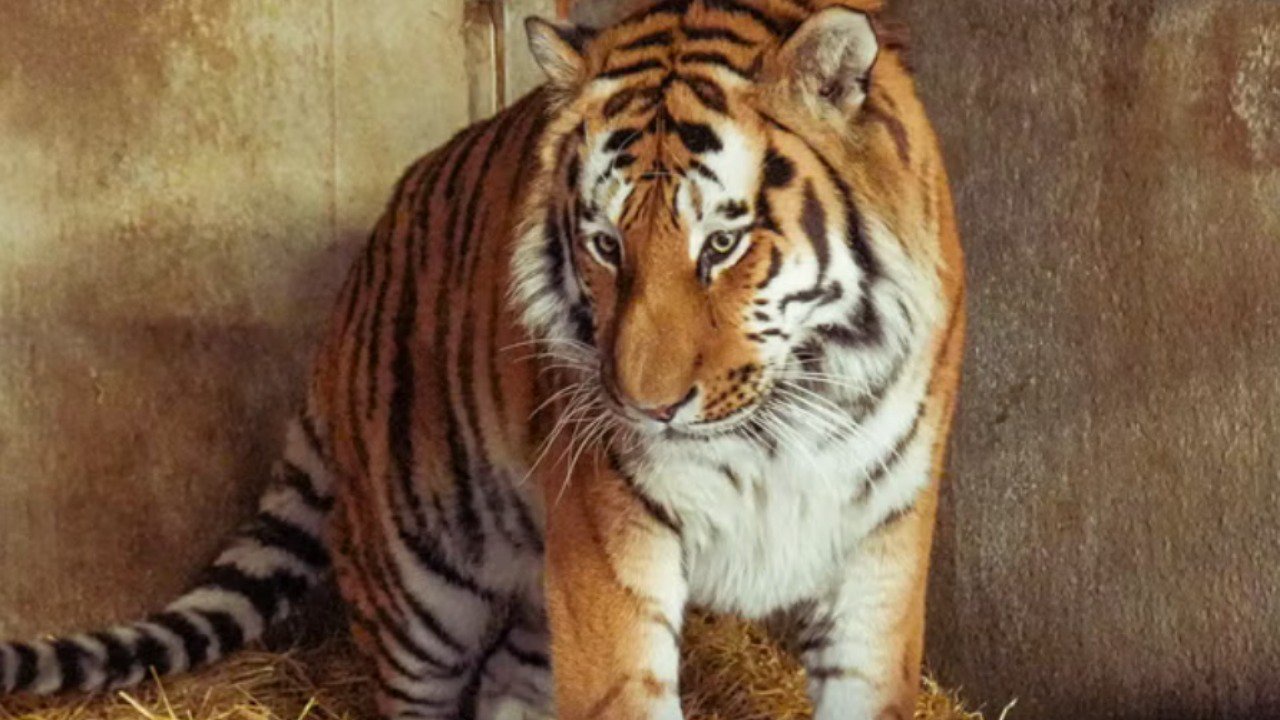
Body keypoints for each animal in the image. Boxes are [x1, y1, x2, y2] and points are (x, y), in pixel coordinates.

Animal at [0, 1, 964, 718]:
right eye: (605, 245)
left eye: (723, 244)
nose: (646, 408)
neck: (781, 425)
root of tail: (351, 293)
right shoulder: (609, 549)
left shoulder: (880, 541)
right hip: (419, 585)